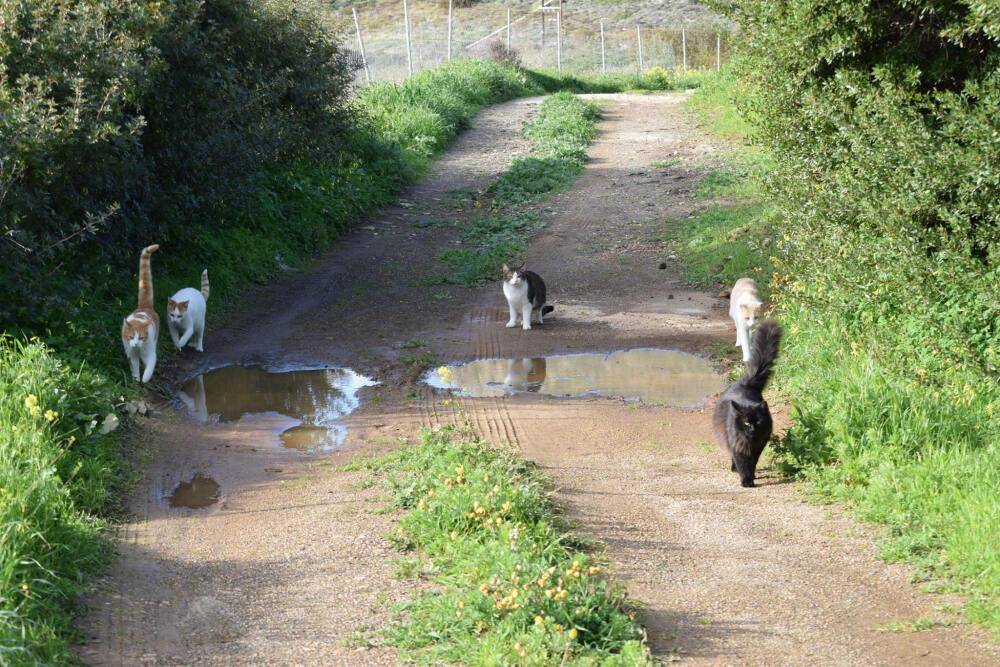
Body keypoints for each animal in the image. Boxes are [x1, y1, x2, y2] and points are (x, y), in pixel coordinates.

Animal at [122, 245, 161, 384]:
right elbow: (134, 366)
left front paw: (144, 378)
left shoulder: (150, 352)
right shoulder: (131, 353)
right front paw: (136, 378)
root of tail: (144, 307)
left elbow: (150, 366)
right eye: (131, 337)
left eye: (141, 338)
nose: (135, 344)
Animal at [712, 320, 780, 488]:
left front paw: (751, 477)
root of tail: (746, 383)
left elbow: (752, 463)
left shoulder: (757, 447)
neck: (749, 441)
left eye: (758, 422)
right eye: (746, 423)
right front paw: (746, 480)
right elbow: (742, 464)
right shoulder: (738, 447)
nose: (753, 429)